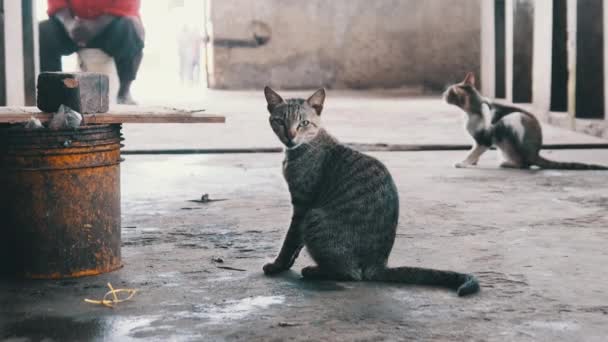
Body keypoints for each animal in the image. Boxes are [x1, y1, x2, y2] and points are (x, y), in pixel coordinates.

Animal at [262, 86, 480, 296]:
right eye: (280, 121)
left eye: (304, 123)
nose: (290, 136)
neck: (304, 147)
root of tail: (378, 265)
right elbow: (295, 244)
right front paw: (286, 263)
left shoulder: (302, 206)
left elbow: (290, 240)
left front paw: (278, 265)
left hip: (314, 218)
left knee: (351, 274)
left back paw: (314, 271)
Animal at [442, 72, 608, 170]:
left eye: (449, 92)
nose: (443, 94)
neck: (471, 112)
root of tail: (536, 153)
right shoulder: (477, 140)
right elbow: (473, 149)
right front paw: (473, 162)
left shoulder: (485, 139)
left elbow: (474, 151)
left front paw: (464, 163)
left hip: (513, 118)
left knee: (525, 164)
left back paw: (508, 163)